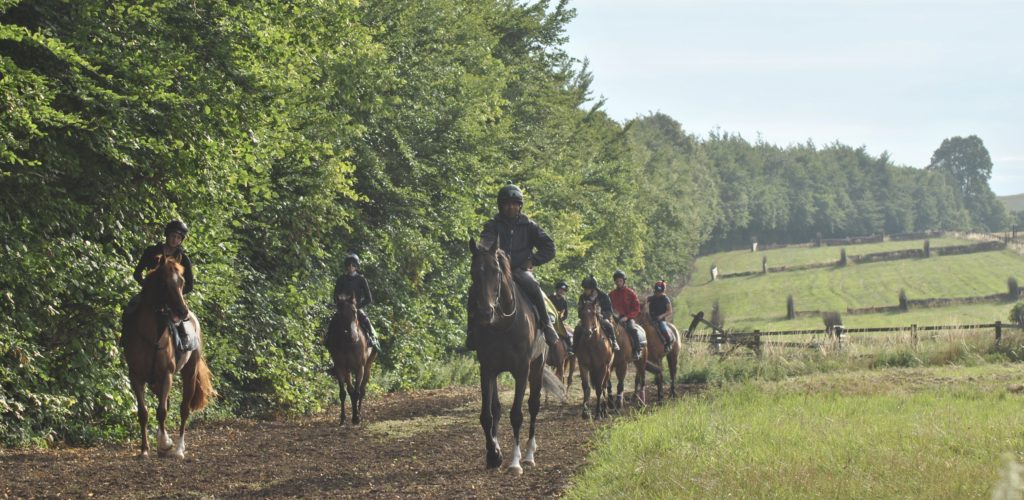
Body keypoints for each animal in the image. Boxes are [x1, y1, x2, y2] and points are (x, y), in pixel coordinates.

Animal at [122, 256, 214, 459]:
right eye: (164, 283)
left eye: (182, 282)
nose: (182, 312)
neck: (151, 336)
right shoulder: (136, 377)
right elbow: (144, 413)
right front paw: (145, 450)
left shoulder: (167, 375)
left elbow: (162, 411)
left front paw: (165, 443)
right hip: (155, 382)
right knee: (169, 403)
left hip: (189, 373)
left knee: (183, 409)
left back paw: (179, 449)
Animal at [325, 290, 378, 424]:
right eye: (340, 313)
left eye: (354, 311)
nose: (353, 336)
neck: (347, 343)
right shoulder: (340, 367)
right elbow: (344, 392)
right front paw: (343, 418)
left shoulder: (360, 368)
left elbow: (357, 392)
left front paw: (356, 418)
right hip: (348, 370)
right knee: (350, 390)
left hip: (368, 366)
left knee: (362, 390)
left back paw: (359, 413)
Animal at [466, 239, 561, 475]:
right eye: (474, 272)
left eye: (496, 271)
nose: (485, 312)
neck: (502, 324)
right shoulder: (488, 369)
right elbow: (488, 415)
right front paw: (493, 455)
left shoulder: (521, 370)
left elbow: (517, 414)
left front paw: (515, 462)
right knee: (497, 409)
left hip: (537, 366)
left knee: (533, 405)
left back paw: (529, 455)